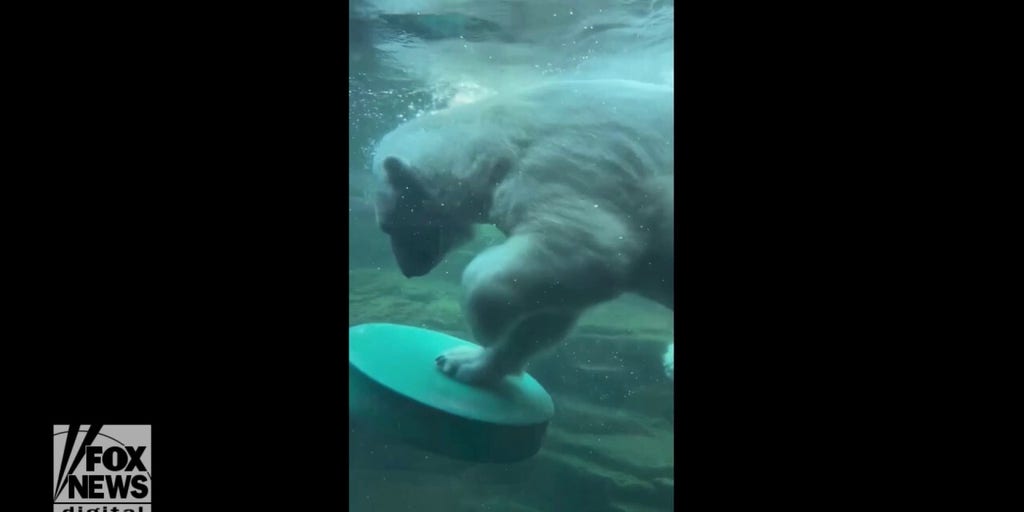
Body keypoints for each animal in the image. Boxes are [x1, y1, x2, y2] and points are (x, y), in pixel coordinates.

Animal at [370, 79, 674, 386]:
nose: (409, 270)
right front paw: (462, 362)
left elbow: (590, 247)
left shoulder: (574, 164)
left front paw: (485, 328)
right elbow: (550, 309)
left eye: (388, 226)